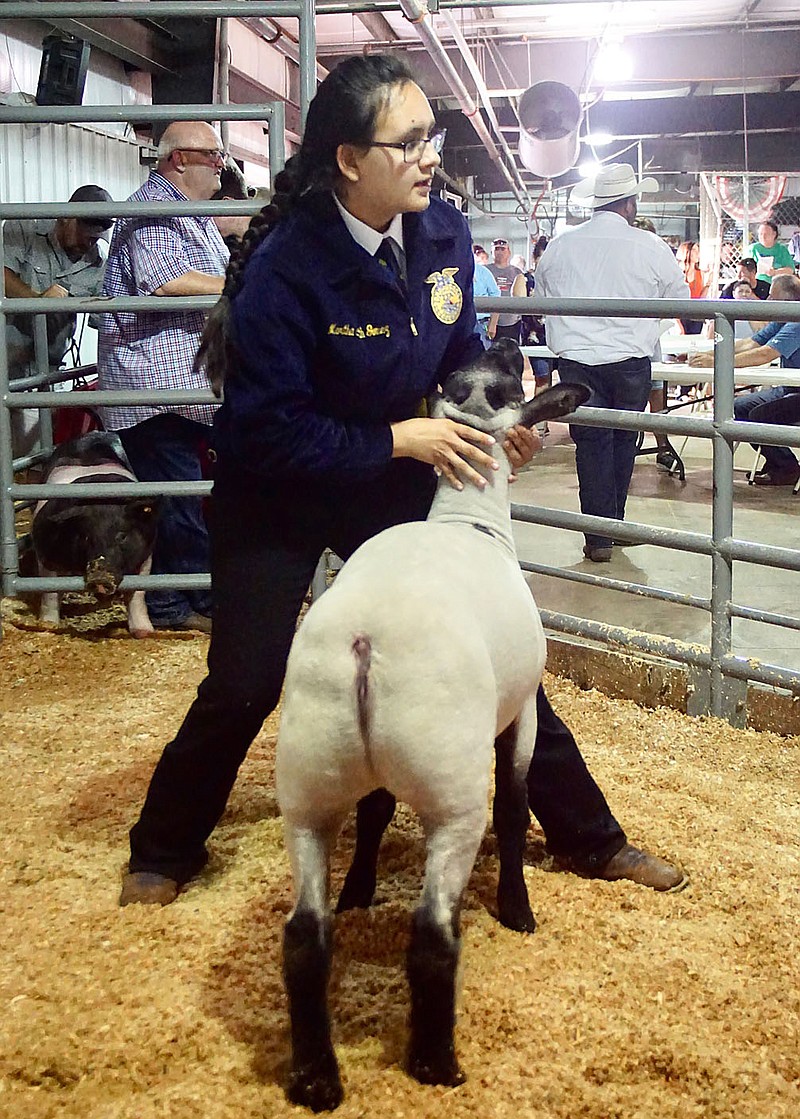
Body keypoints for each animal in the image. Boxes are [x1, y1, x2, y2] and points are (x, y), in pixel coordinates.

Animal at [30, 429, 161, 640]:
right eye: (84, 536)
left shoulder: (146, 555)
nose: (100, 579)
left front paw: (144, 632)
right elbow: (49, 593)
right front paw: (48, 627)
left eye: (122, 536)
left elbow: (137, 594)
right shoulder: (45, 553)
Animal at [275, 340, 586, 1110]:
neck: (467, 520)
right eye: (507, 385)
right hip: (451, 796)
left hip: (308, 784)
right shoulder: (522, 710)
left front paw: (359, 890)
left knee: (303, 937)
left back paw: (317, 1077)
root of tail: (364, 641)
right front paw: (518, 907)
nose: (504, 340)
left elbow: (377, 809)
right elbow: (516, 805)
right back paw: (436, 1061)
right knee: (433, 936)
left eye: (473, 376)